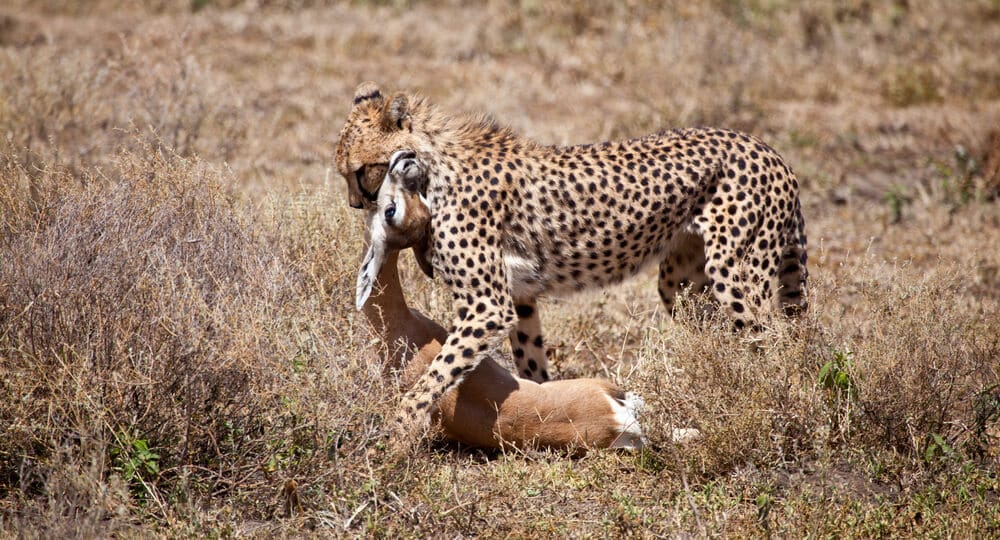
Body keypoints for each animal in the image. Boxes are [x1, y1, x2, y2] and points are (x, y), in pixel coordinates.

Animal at [334, 82, 804, 446]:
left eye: (360, 170)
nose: (356, 204)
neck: (432, 163)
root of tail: (766, 148)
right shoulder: (520, 298)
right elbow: (531, 361)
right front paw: (547, 403)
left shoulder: (488, 307)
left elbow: (436, 374)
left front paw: (397, 426)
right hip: (681, 281)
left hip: (736, 273)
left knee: (778, 341)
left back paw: (775, 406)